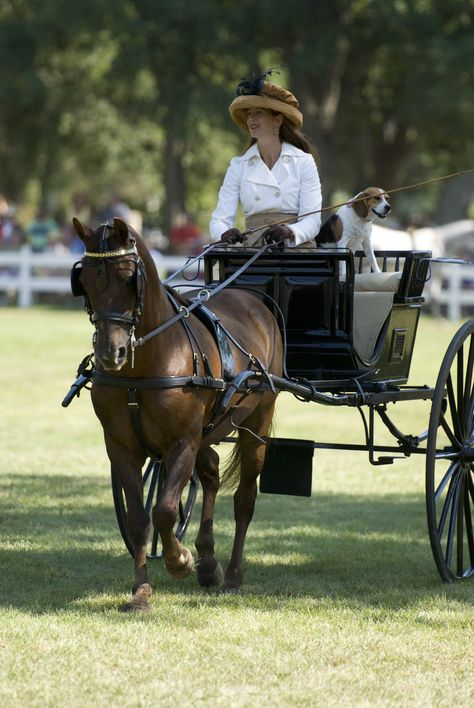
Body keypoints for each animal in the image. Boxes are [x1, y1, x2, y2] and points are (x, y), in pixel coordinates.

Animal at [72, 218, 284, 612]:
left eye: (128, 277)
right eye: (86, 280)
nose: (111, 352)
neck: (144, 367)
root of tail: (253, 300)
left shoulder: (182, 442)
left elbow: (166, 511)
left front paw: (179, 560)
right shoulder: (120, 447)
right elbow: (139, 518)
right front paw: (141, 591)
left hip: (256, 422)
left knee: (244, 498)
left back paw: (232, 574)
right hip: (209, 428)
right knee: (212, 474)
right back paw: (208, 563)